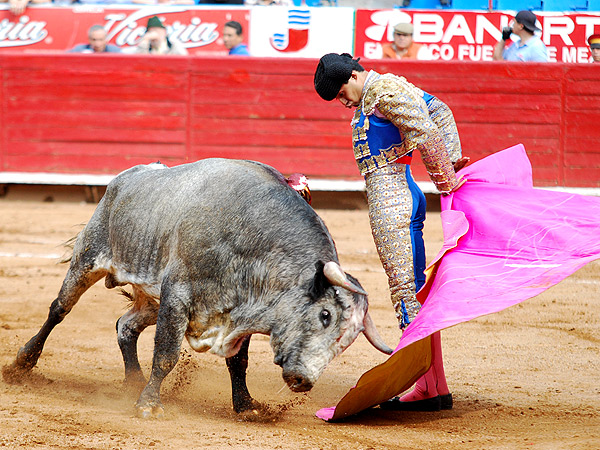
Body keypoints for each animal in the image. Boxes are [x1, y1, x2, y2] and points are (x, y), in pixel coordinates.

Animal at [3, 159, 394, 418]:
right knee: (59, 309)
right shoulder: (178, 295)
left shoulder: (239, 312)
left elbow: (238, 362)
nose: (303, 380)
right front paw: (149, 405)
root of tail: (124, 179)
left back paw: (133, 381)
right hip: (89, 258)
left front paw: (246, 406)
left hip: (151, 298)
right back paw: (22, 364)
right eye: (325, 315)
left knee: (124, 326)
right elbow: (166, 355)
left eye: (349, 340)